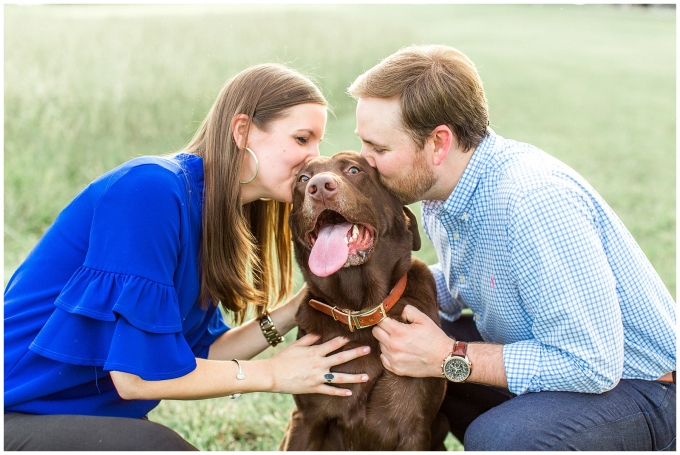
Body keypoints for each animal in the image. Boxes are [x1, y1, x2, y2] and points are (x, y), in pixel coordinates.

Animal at [278, 152, 448, 452]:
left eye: (354, 170)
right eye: (303, 178)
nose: (319, 187)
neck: (358, 310)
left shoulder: (414, 428)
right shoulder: (306, 419)